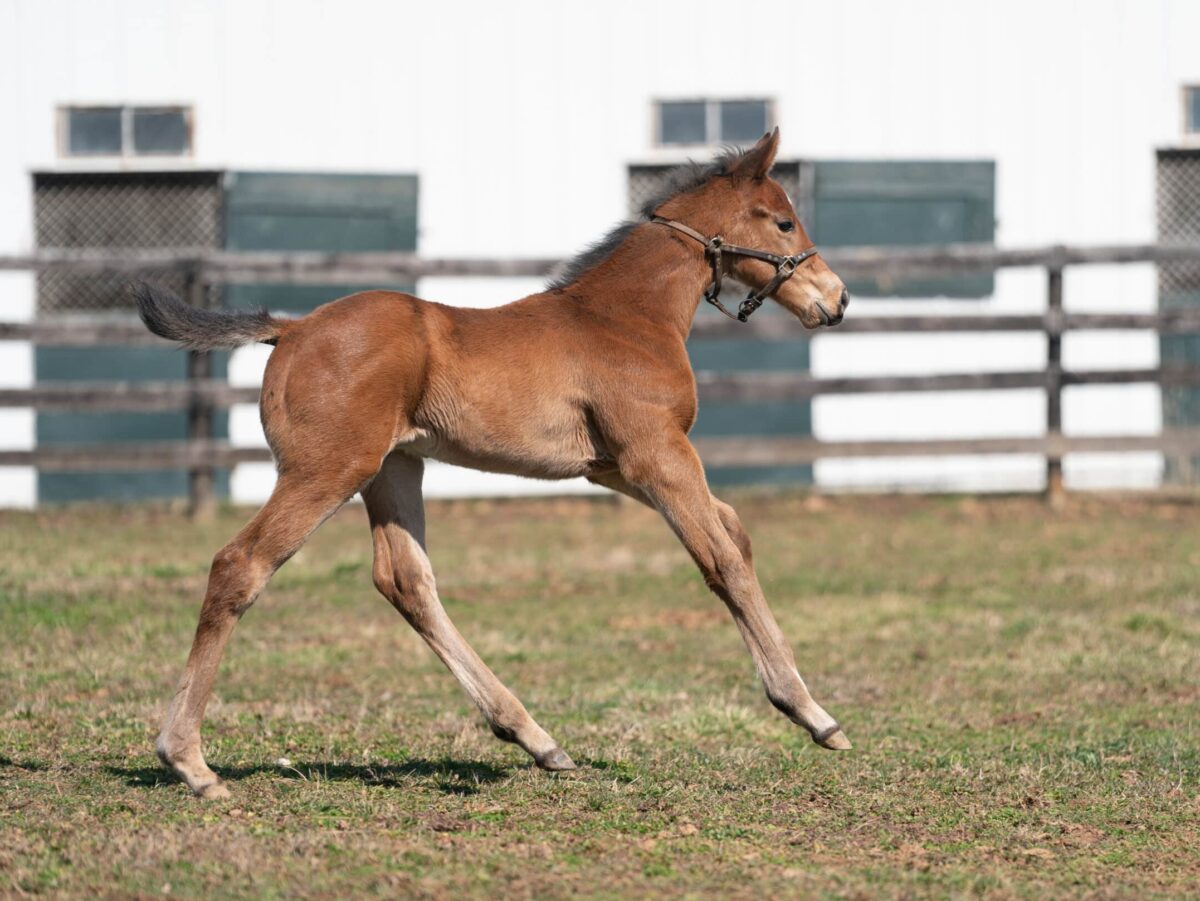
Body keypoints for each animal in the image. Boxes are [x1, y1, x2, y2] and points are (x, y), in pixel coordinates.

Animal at [136, 128, 849, 796]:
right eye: (783, 221)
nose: (837, 299)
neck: (623, 316)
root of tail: (291, 329)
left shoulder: (613, 466)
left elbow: (733, 529)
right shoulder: (655, 452)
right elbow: (721, 559)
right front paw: (811, 713)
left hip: (394, 468)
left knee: (405, 581)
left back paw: (535, 739)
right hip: (327, 470)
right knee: (241, 563)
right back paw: (189, 761)